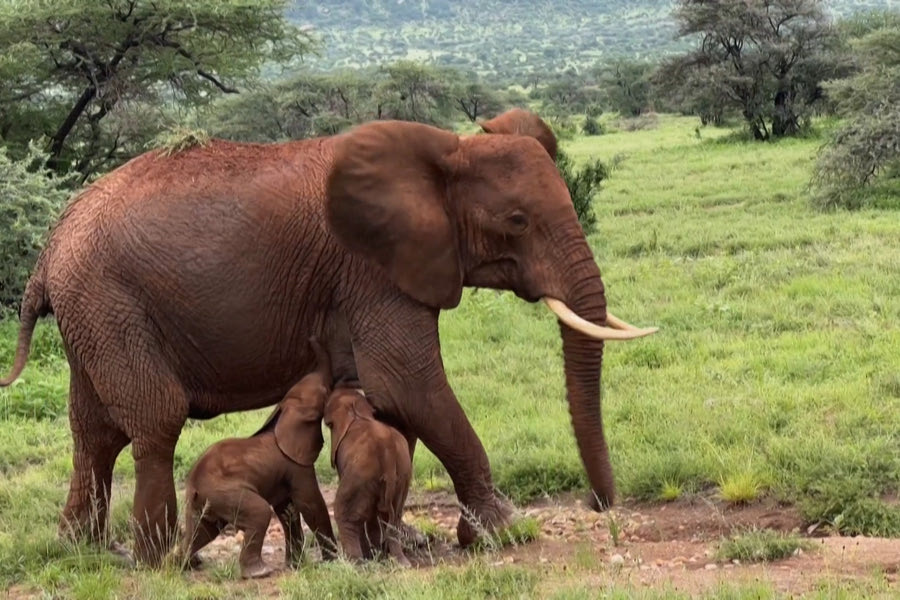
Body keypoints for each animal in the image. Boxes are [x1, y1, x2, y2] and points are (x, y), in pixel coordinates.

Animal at [181, 338, 336, 576]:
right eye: (325, 391)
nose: (312, 339)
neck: (286, 408)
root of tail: (192, 484)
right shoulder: (296, 465)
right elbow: (309, 503)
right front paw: (335, 560)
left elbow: (288, 511)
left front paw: (296, 566)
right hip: (225, 492)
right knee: (259, 513)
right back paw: (260, 572)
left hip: (204, 502)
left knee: (202, 532)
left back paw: (182, 565)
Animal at [324, 382, 412, 564]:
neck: (356, 410)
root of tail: (388, 453)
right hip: (402, 477)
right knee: (394, 518)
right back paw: (401, 563)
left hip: (360, 475)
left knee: (346, 516)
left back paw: (354, 563)